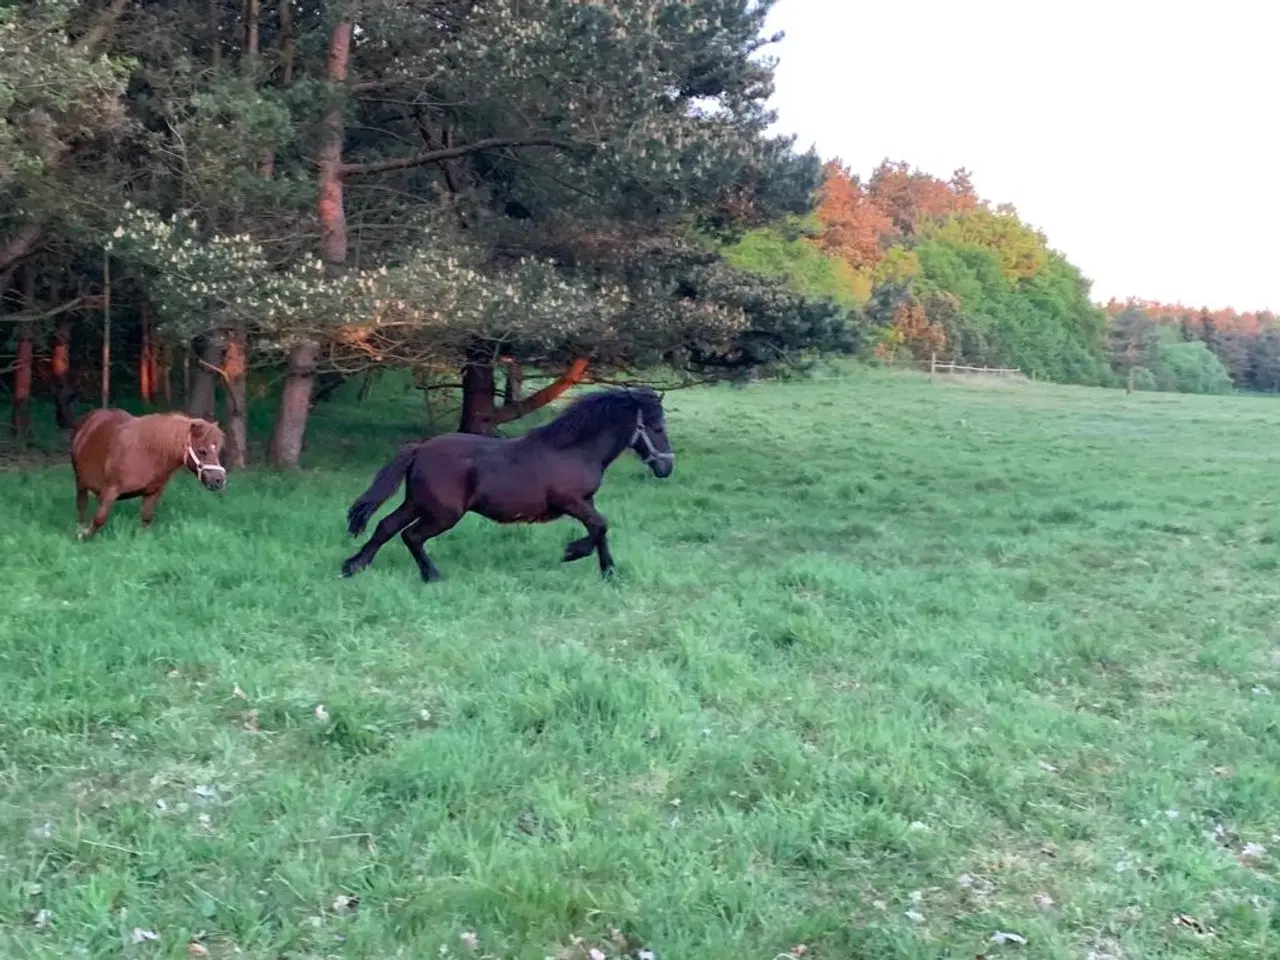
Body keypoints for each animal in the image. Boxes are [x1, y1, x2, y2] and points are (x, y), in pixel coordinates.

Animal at [68, 407, 227, 542]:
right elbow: (99, 518)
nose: (219, 480)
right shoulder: (110, 489)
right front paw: (84, 535)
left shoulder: (153, 492)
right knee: (81, 505)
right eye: (202, 450)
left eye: (218, 449)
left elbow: (146, 518)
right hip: (80, 482)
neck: (148, 453)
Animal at [340, 386, 680, 583]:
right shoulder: (570, 501)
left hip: (417, 503)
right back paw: (431, 575)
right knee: (411, 536)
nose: (667, 467)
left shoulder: (586, 501)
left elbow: (600, 530)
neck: (574, 449)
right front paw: (572, 552)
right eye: (657, 427)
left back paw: (354, 566)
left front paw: (609, 572)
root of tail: (420, 449)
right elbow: (600, 526)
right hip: (443, 514)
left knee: (386, 527)